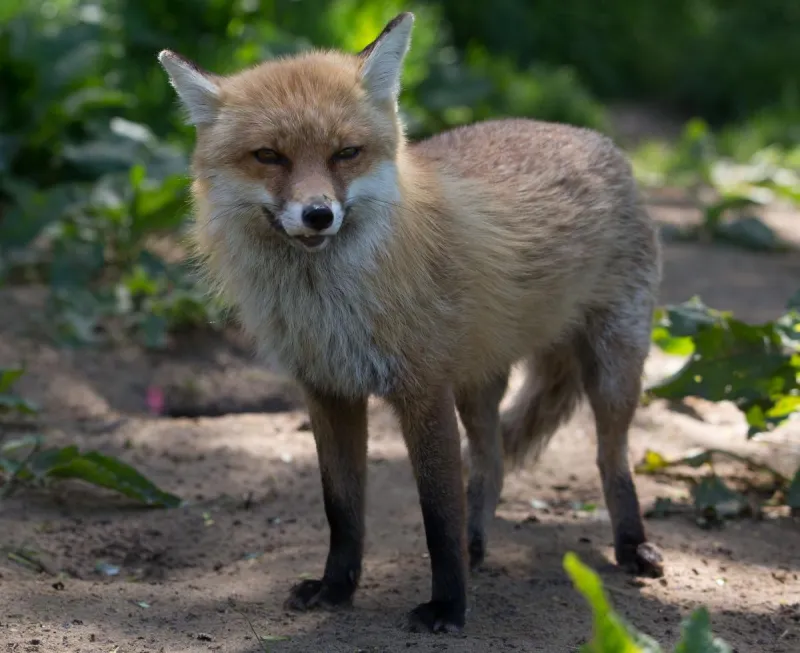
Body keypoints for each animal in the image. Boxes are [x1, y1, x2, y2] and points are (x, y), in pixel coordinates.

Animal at [157, 12, 664, 633]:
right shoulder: (328, 391)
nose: (318, 214)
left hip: (613, 370)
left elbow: (437, 515)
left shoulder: (423, 390)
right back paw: (479, 544)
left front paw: (448, 605)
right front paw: (336, 588)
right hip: (478, 383)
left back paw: (631, 545)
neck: (329, 305)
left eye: (346, 153)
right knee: (491, 465)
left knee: (609, 458)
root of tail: (593, 137)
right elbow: (343, 508)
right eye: (269, 156)